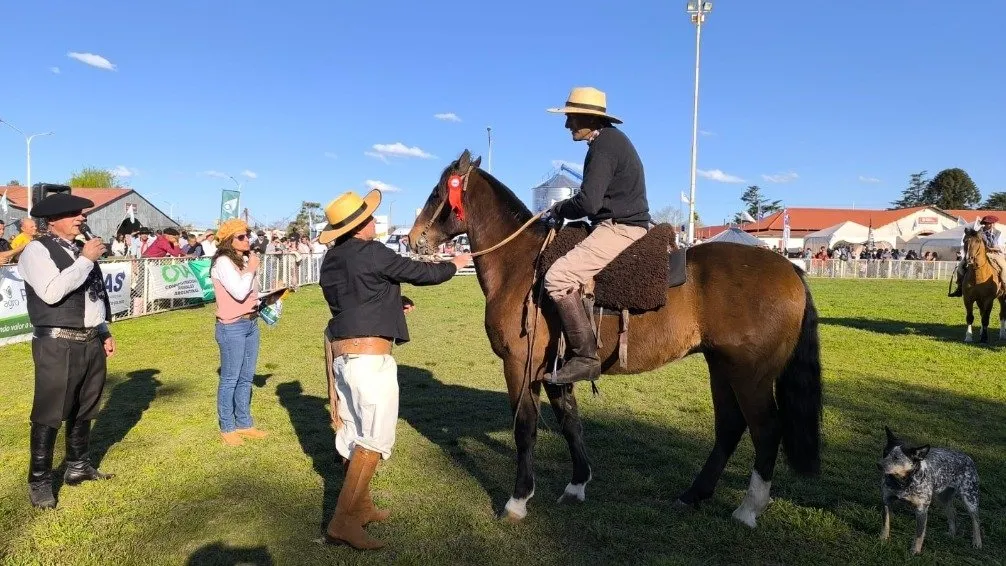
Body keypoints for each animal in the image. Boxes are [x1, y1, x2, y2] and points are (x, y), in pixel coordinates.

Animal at [404, 149, 820, 526]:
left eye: (437, 194)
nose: (412, 239)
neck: (520, 265)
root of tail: (790, 269)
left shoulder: (519, 367)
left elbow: (525, 429)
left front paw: (518, 500)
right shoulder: (555, 372)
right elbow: (570, 424)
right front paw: (577, 485)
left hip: (750, 375)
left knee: (766, 430)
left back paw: (748, 509)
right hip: (721, 367)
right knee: (730, 427)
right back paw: (694, 494)